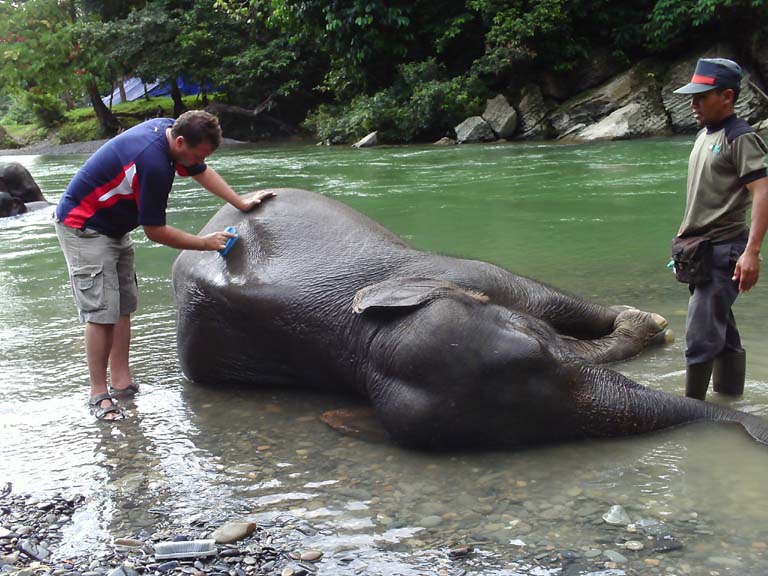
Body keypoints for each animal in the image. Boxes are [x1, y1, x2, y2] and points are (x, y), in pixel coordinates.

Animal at [172, 189, 768, 450]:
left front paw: (646, 322)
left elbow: (541, 297)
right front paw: (648, 324)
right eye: (520, 435)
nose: (751, 427)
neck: (354, 331)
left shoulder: (439, 268)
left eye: (533, 340)